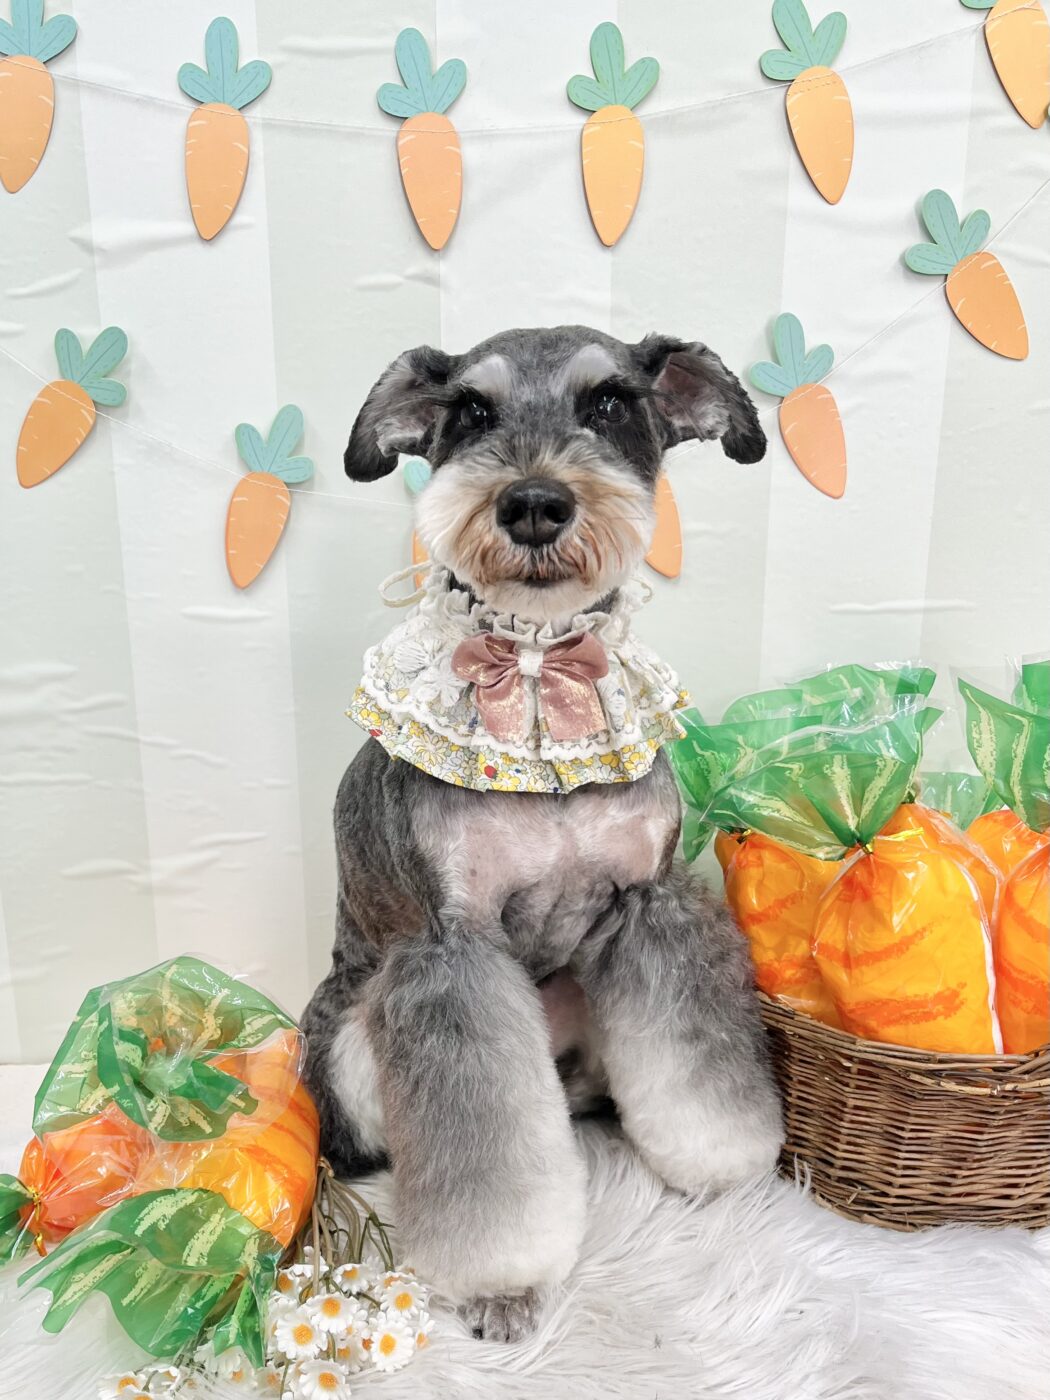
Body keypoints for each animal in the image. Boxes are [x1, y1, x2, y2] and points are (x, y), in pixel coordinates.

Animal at [302, 325, 783, 1342]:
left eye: (609, 403)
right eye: (470, 412)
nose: (532, 502)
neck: (535, 663)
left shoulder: (648, 907)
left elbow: (691, 1064)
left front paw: (719, 1166)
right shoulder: (455, 955)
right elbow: (485, 1152)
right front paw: (502, 1281)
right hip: (356, 1045)